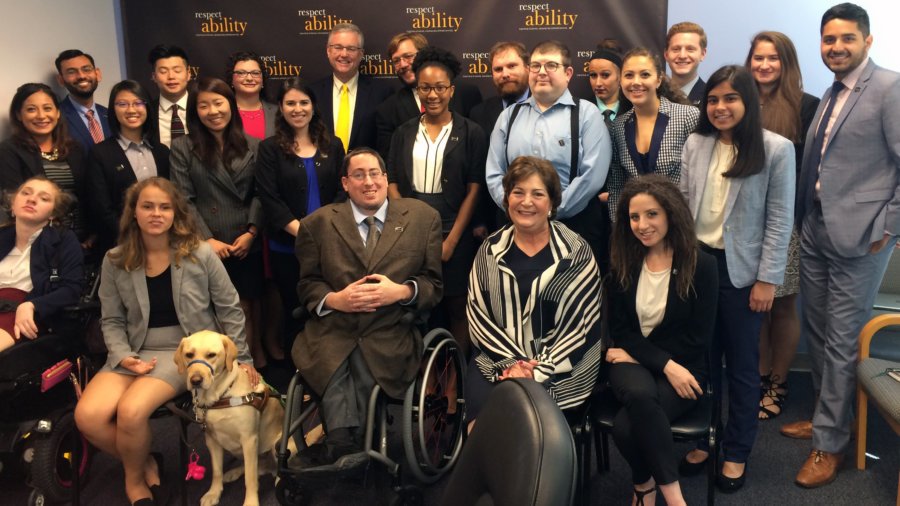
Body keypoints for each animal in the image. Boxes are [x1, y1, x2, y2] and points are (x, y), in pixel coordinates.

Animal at [175, 330, 288, 506]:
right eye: (189, 355)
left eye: (211, 355)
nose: (195, 381)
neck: (219, 396)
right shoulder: (211, 440)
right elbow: (217, 471)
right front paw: (214, 493)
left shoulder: (249, 439)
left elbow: (250, 478)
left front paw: (251, 502)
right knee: (257, 467)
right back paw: (234, 472)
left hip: (278, 445)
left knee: (273, 469)